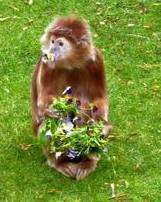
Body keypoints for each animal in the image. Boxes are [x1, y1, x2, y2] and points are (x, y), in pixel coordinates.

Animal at [31, 15, 112, 180]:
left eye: (60, 43)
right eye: (52, 42)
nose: (52, 49)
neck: (70, 64)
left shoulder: (96, 60)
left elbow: (100, 98)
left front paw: (98, 124)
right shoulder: (46, 62)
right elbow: (43, 102)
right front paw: (55, 110)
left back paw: (88, 160)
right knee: (47, 125)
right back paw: (60, 163)